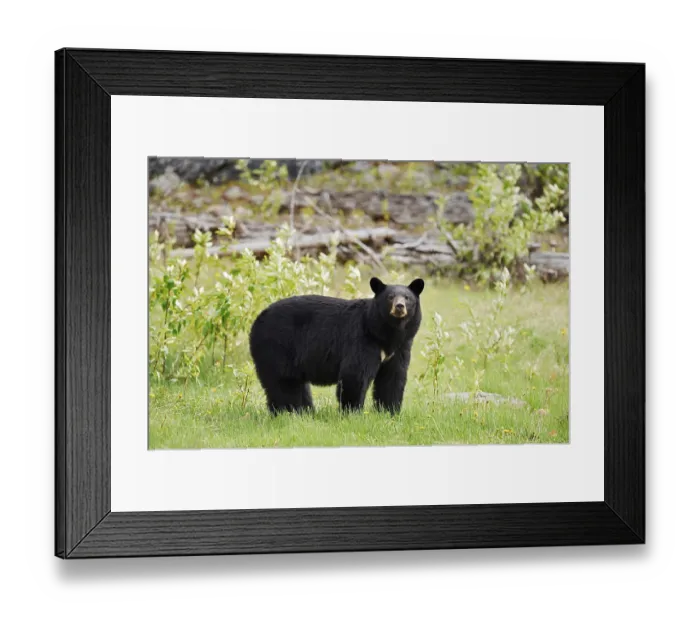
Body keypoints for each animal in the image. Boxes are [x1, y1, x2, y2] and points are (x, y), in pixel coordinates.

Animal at [249, 277, 425, 415]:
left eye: (407, 298)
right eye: (390, 297)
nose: (399, 306)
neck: (386, 333)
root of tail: (257, 320)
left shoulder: (400, 347)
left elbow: (393, 377)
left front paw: (389, 412)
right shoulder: (362, 339)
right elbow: (355, 374)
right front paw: (353, 412)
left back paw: (304, 411)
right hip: (277, 346)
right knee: (283, 382)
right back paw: (288, 411)